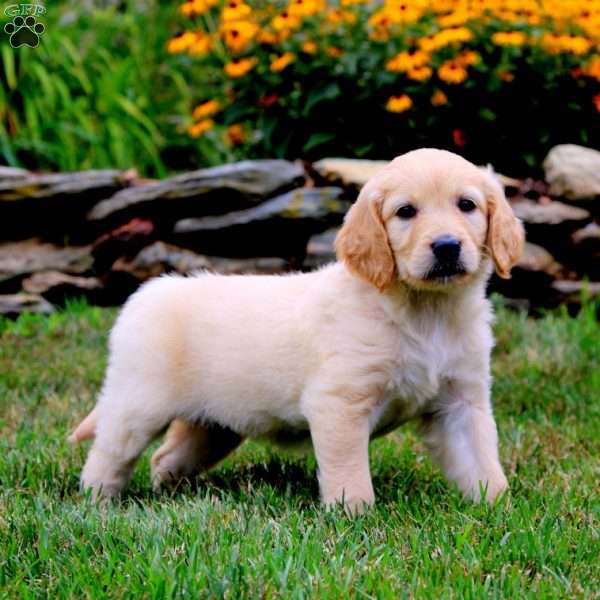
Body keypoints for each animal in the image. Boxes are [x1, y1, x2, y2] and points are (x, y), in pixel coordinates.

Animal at [70, 149, 524, 510]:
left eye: (466, 205)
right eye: (406, 212)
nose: (447, 246)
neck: (425, 310)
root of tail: (150, 290)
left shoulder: (461, 401)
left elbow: (481, 461)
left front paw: (499, 509)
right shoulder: (339, 403)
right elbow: (349, 472)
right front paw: (354, 516)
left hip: (214, 427)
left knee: (166, 457)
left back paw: (172, 495)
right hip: (139, 402)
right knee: (110, 453)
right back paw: (98, 502)